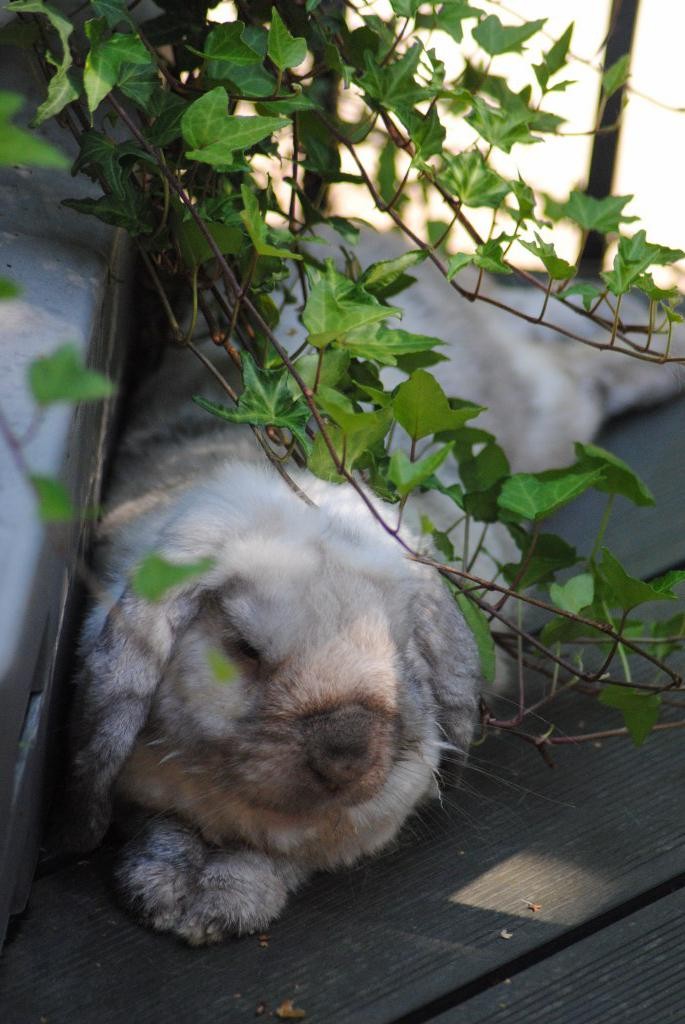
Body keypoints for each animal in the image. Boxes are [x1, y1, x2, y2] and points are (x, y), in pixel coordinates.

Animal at [61, 230, 679, 942]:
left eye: (401, 648)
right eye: (243, 649)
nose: (347, 751)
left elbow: (290, 853)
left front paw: (222, 898)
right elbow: (166, 822)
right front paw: (170, 886)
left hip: (548, 411)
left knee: (580, 362)